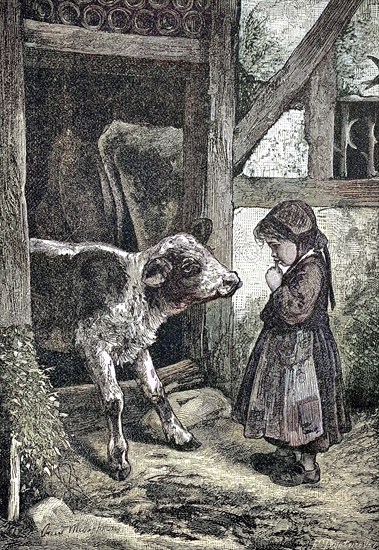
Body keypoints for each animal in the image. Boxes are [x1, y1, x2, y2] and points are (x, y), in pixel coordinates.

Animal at [31, 235, 242, 480]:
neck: (136, 293)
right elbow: (114, 400)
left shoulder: (137, 347)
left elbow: (155, 389)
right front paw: (119, 460)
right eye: (189, 265)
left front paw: (181, 436)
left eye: (209, 253)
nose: (232, 278)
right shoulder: (93, 347)